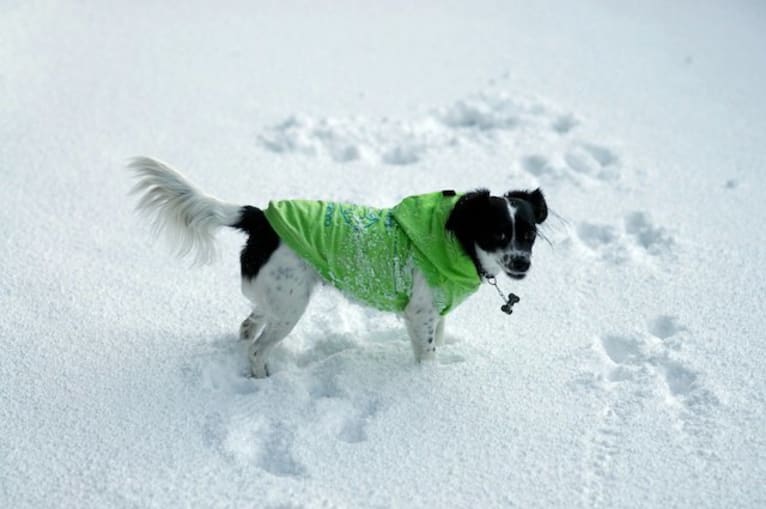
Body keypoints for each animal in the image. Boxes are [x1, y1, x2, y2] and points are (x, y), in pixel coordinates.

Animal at [129, 158, 548, 378]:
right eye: (498, 233)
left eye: (528, 234)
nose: (522, 263)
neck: (454, 239)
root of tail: (261, 218)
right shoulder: (420, 313)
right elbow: (427, 354)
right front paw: (425, 386)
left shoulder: (437, 312)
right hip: (290, 305)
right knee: (258, 348)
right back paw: (263, 382)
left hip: (274, 297)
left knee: (248, 326)